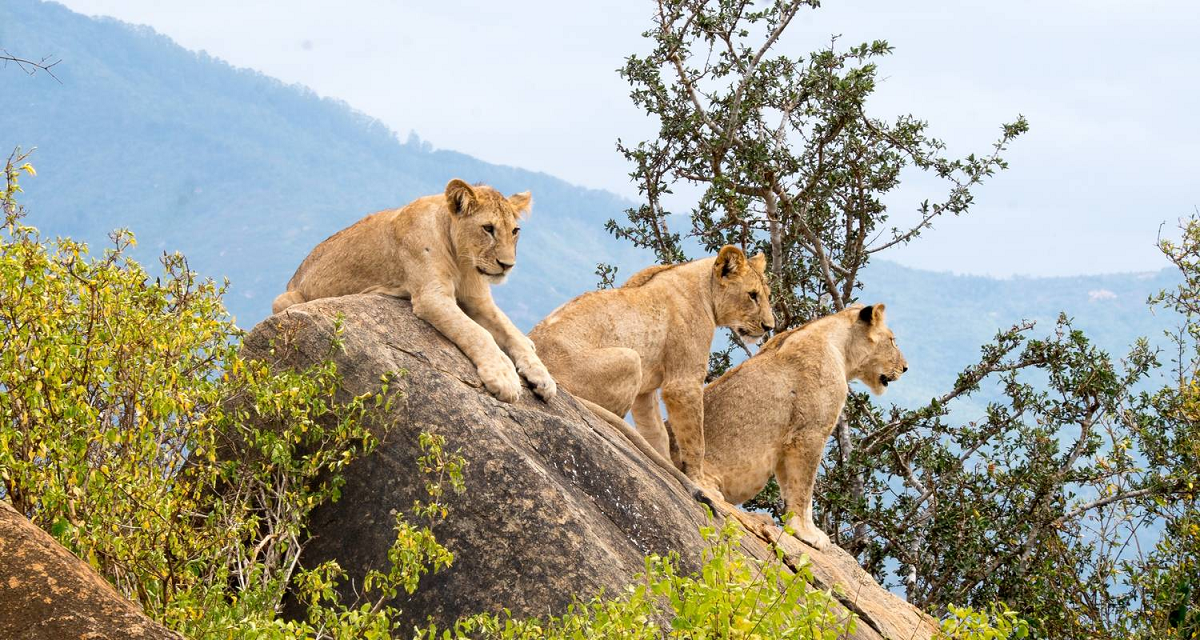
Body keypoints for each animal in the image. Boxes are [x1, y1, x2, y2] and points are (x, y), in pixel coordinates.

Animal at [273, 177, 556, 401]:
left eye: (515, 230)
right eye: (488, 228)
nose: (507, 265)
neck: (462, 260)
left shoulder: (478, 300)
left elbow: (512, 332)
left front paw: (542, 377)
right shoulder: (431, 296)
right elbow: (477, 333)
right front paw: (504, 377)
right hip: (285, 300)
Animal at [530, 246, 772, 494]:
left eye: (767, 294)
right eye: (752, 295)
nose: (768, 326)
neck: (705, 287)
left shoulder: (646, 392)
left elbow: (657, 433)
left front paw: (668, 467)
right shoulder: (683, 384)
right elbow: (696, 440)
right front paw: (699, 482)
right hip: (631, 359)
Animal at [700, 301, 902, 547]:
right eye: (892, 340)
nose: (905, 367)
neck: (842, 349)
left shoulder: (787, 443)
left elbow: (790, 487)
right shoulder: (809, 433)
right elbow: (805, 488)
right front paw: (808, 533)